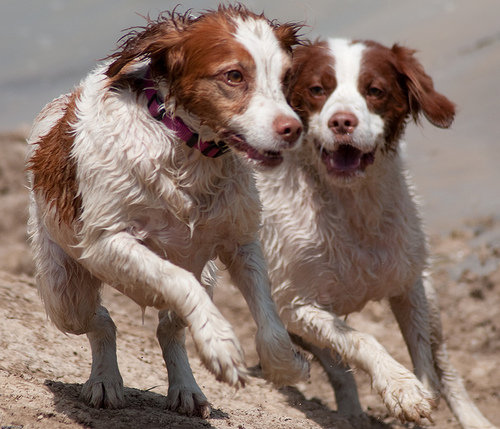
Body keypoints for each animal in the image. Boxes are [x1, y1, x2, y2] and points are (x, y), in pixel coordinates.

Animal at [28, 5, 308, 416]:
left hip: (206, 275)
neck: (189, 151)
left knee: (168, 328)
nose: (293, 129)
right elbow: (175, 278)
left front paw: (285, 364)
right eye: (234, 75)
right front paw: (220, 341)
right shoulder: (107, 243)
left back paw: (186, 389)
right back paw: (105, 381)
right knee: (100, 321)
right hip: (65, 291)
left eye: (287, 78)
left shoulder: (241, 242)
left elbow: (269, 319)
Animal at [256, 38, 498, 426]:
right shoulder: (296, 304)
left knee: (446, 367)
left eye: (375, 90)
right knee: (338, 368)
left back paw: (473, 419)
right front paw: (401, 387)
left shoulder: (410, 283)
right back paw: (351, 415)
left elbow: (429, 363)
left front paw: (419, 390)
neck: (353, 203)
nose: (342, 121)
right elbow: (360, 340)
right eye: (317, 89)